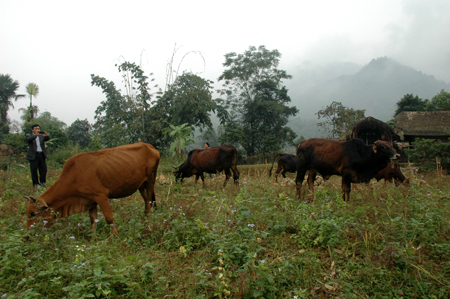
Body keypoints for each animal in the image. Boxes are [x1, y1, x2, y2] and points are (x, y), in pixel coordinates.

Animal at [24, 143, 160, 237]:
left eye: (32, 213)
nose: (27, 236)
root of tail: (150, 146)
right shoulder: (90, 201)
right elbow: (93, 220)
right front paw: (93, 239)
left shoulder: (101, 196)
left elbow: (109, 218)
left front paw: (116, 237)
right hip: (141, 185)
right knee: (146, 203)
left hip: (150, 180)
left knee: (150, 203)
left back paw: (149, 226)